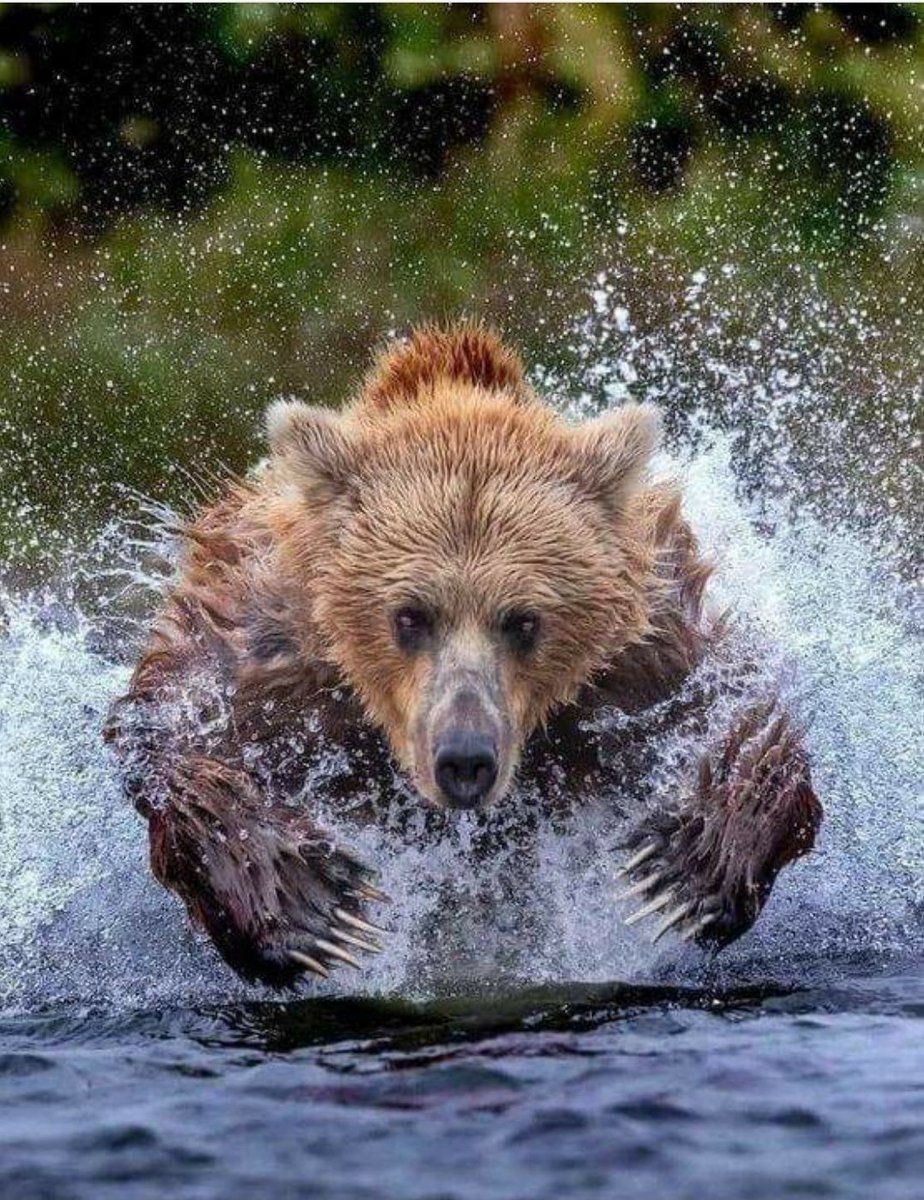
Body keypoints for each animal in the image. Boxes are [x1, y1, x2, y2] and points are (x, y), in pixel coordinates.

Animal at [105, 322, 821, 986]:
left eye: (524, 620)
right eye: (409, 615)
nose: (465, 758)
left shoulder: (644, 666)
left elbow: (750, 714)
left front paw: (687, 870)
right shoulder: (268, 659)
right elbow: (162, 727)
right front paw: (310, 906)